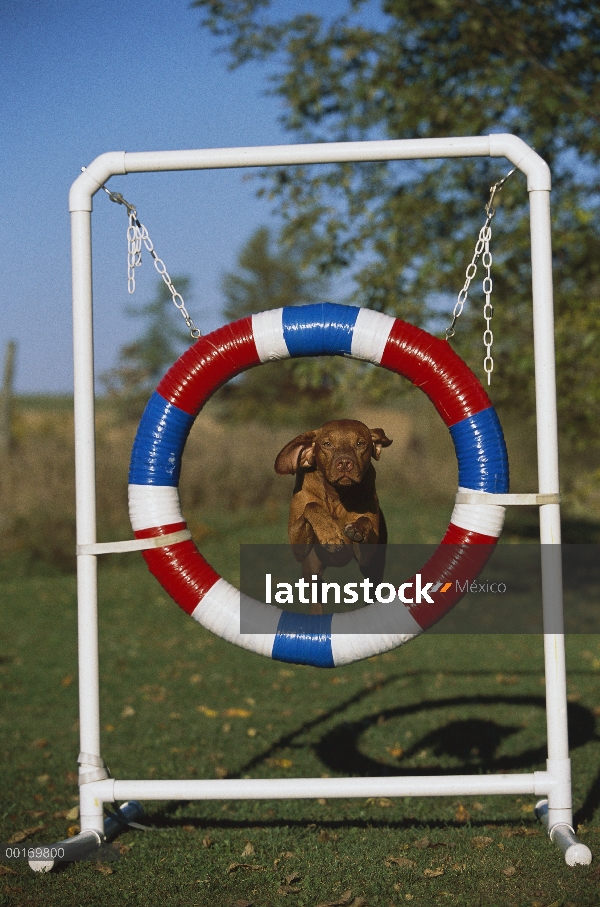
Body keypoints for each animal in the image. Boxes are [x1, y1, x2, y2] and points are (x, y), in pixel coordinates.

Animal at [274, 422, 392, 612]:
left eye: (360, 443)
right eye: (326, 444)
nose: (344, 463)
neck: (336, 494)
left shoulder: (367, 557)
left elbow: (365, 521)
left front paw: (358, 528)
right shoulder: (297, 545)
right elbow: (311, 506)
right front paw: (329, 533)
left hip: (374, 570)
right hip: (311, 569)